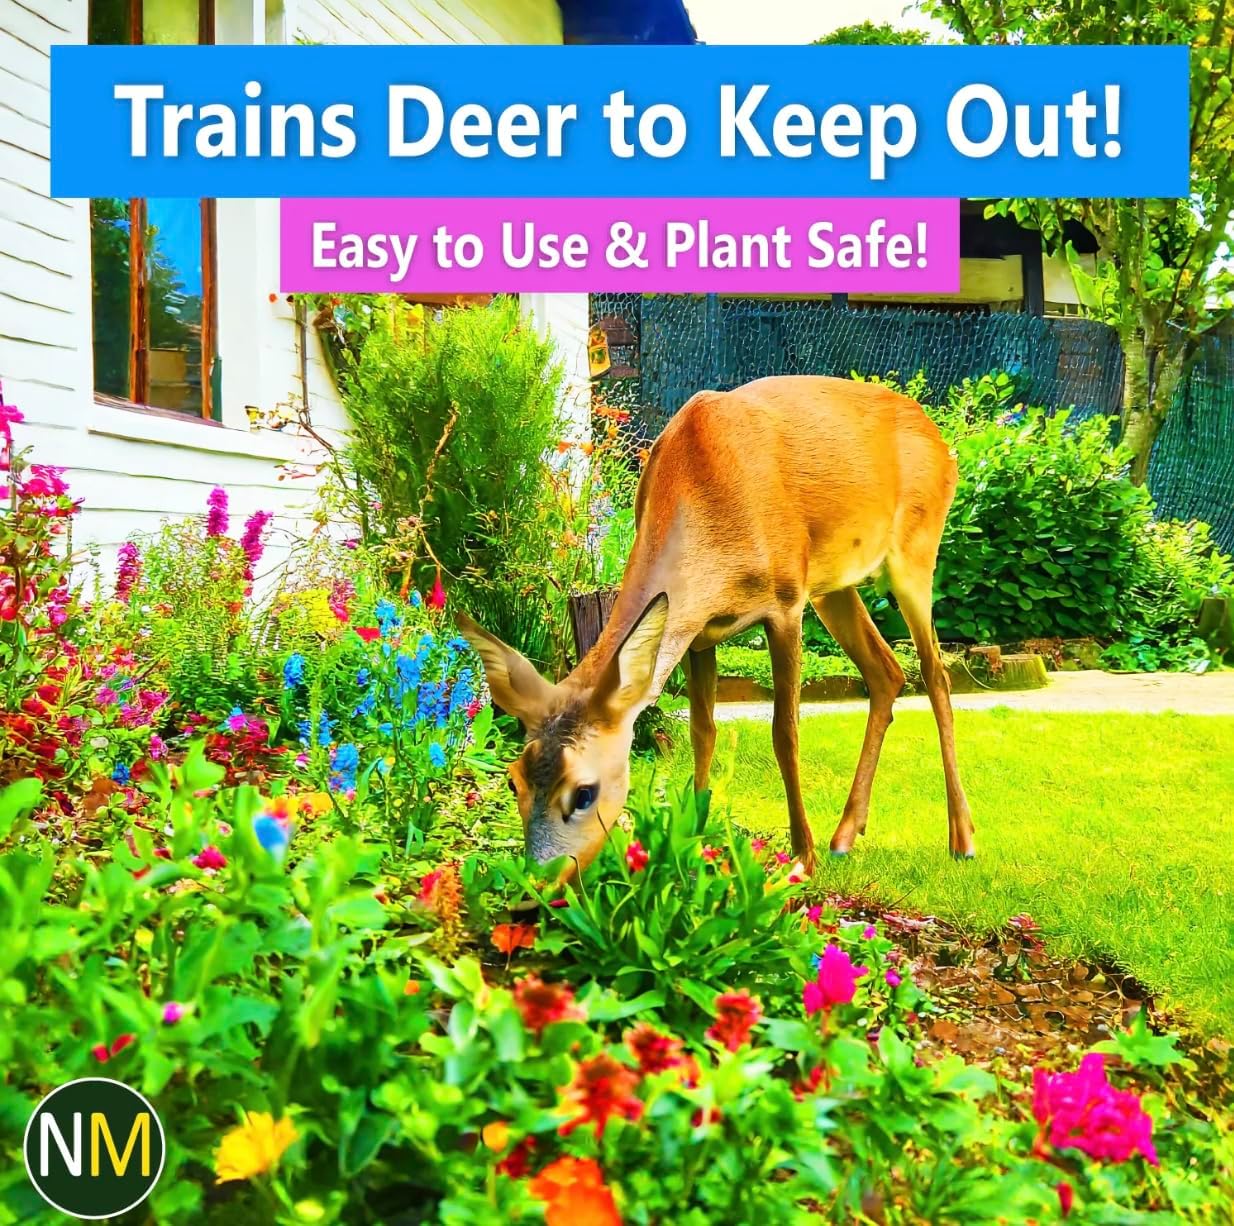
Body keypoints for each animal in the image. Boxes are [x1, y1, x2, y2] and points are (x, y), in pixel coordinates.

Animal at [457, 375, 974, 881]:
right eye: (513, 780)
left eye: (584, 791)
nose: (537, 880)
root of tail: (939, 439)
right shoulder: (697, 631)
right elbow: (702, 731)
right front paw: (696, 836)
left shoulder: (786, 604)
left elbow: (785, 732)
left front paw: (801, 858)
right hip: (833, 586)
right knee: (887, 671)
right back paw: (846, 834)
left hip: (915, 551)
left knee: (935, 673)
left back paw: (961, 839)